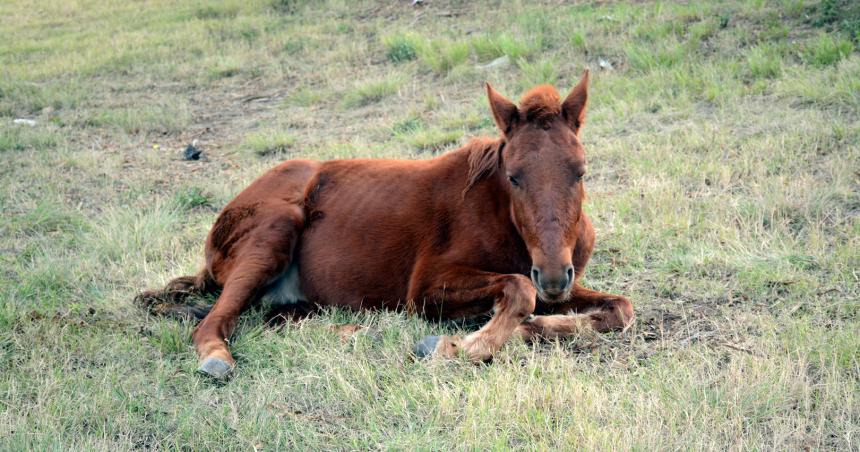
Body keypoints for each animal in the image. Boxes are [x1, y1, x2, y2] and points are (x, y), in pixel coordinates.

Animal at [134, 70, 632, 380]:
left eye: (580, 171)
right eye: (513, 176)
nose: (553, 276)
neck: (502, 216)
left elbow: (619, 309)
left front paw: (526, 326)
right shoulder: (426, 288)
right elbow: (517, 288)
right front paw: (461, 346)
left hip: (295, 299)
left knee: (278, 320)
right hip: (275, 230)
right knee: (215, 323)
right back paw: (216, 359)